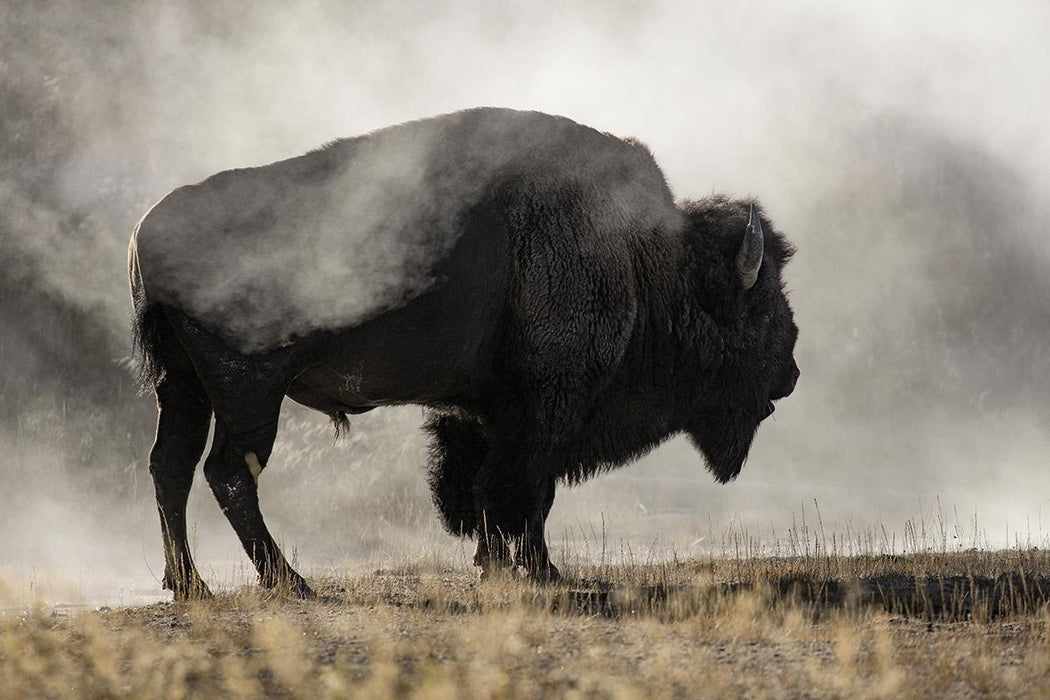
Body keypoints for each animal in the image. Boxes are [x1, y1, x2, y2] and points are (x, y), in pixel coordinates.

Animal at [127, 107, 793, 600]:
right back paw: (291, 583)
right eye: (759, 306)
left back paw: (190, 586)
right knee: (229, 471)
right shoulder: (547, 405)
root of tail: (147, 230)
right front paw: (533, 570)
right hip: (248, 389)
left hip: (183, 386)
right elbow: (525, 489)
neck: (641, 256)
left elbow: (496, 488)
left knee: (171, 466)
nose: (789, 374)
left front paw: (505, 564)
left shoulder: (493, 413)